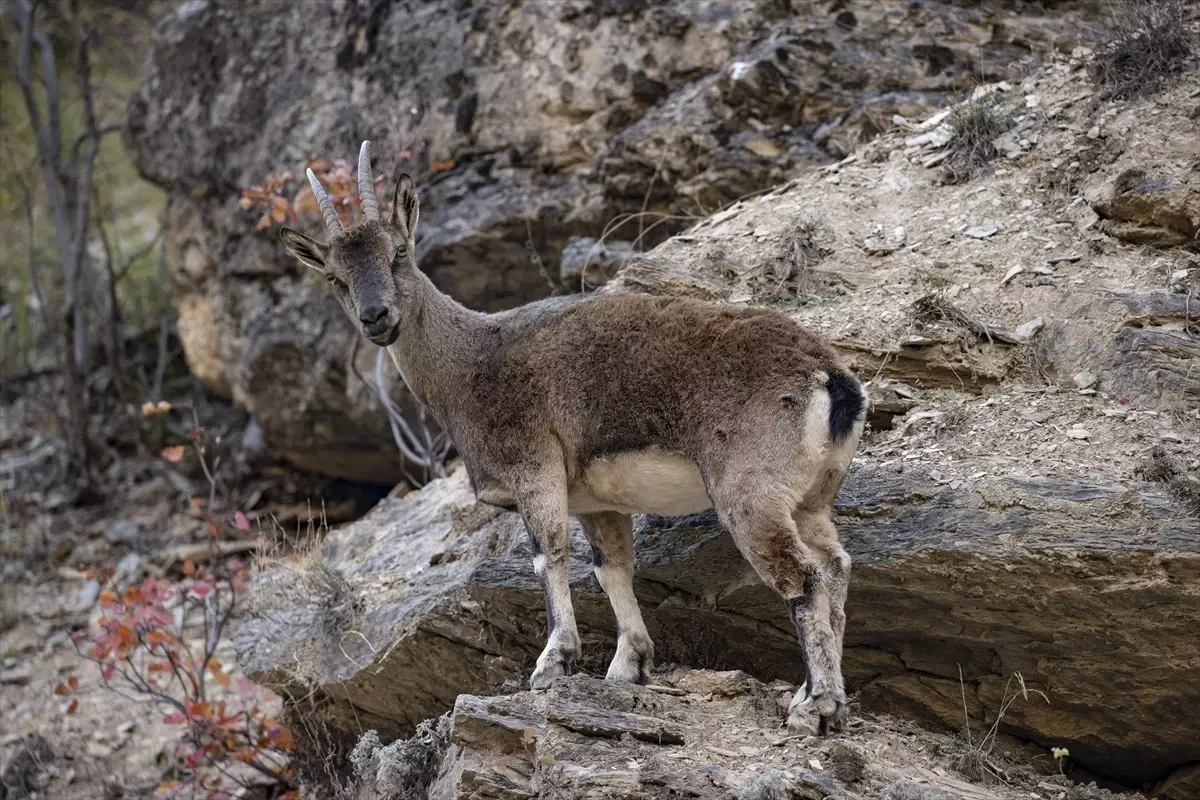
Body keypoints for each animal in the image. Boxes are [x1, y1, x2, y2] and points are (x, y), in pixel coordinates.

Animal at [278, 142, 864, 734]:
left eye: (399, 251)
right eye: (333, 276)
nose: (376, 317)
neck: (471, 362)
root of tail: (830, 379)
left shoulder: (533, 467)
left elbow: (549, 555)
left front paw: (552, 662)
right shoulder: (598, 501)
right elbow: (611, 569)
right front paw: (627, 666)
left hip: (749, 493)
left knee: (804, 578)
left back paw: (813, 707)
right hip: (810, 499)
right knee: (835, 569)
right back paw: (823, 698)